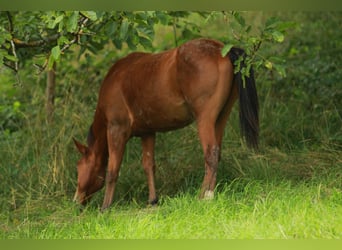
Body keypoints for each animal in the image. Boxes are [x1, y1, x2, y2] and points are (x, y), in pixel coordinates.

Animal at [73, 38, 260, 212]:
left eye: (79, 167)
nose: (76, 201)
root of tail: (221, 49)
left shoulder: (116, 130)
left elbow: (112, 170)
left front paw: (105, 207)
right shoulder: (147, 132)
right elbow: (148, 165)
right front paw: (153, 200)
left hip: (205, 119)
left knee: (211, 154)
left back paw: (204, 195)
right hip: (221, 117)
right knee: (217, 152)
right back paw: (210, 193)